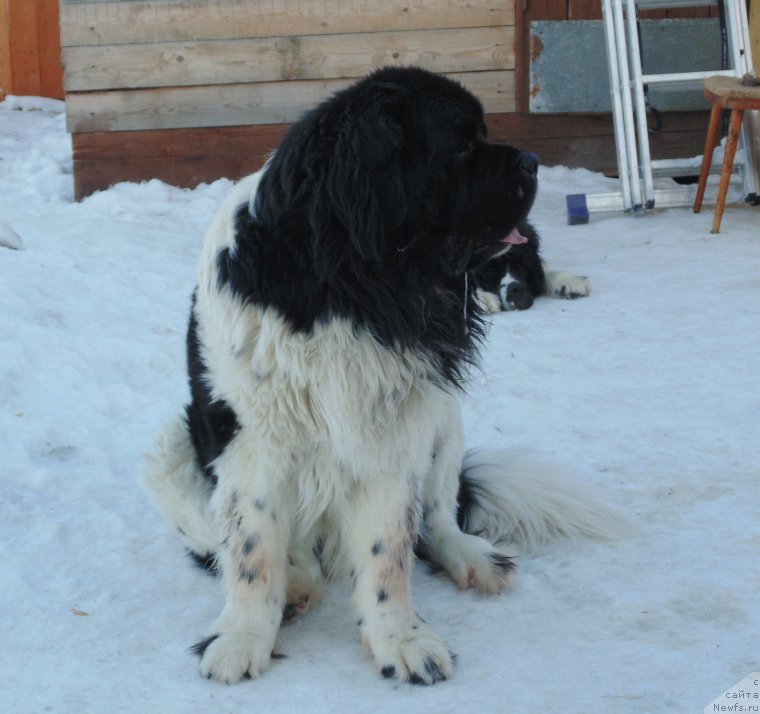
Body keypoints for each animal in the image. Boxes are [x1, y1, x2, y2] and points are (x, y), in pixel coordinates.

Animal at [144, 67, 624, 684]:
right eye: (461, 146)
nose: (534, 161)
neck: (353, 287)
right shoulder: (251, 443)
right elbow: (253, 550)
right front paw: (241, 639)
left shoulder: (393, 436)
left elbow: (389, 552)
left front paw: (400, 639)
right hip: (171, 448)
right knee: (238, 546)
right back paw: (296, 587)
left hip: (444, 422)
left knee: (438, 520)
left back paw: (473, 558)